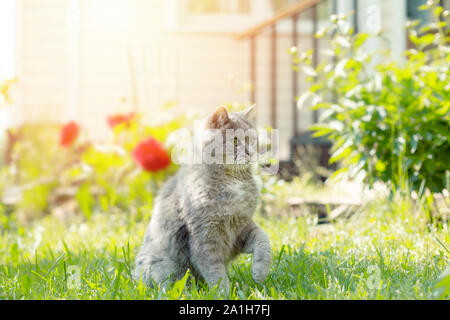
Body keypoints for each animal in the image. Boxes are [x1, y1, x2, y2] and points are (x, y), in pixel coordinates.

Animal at [134, 105, 270, 292]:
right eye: (235, 141)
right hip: (165, 265)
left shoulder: (242, 225)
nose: (251, 153)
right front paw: (224, 292)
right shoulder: (205, 236)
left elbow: (264, 240)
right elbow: (214, 271)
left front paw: (259, 273)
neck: (231, 180)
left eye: (252, 139)